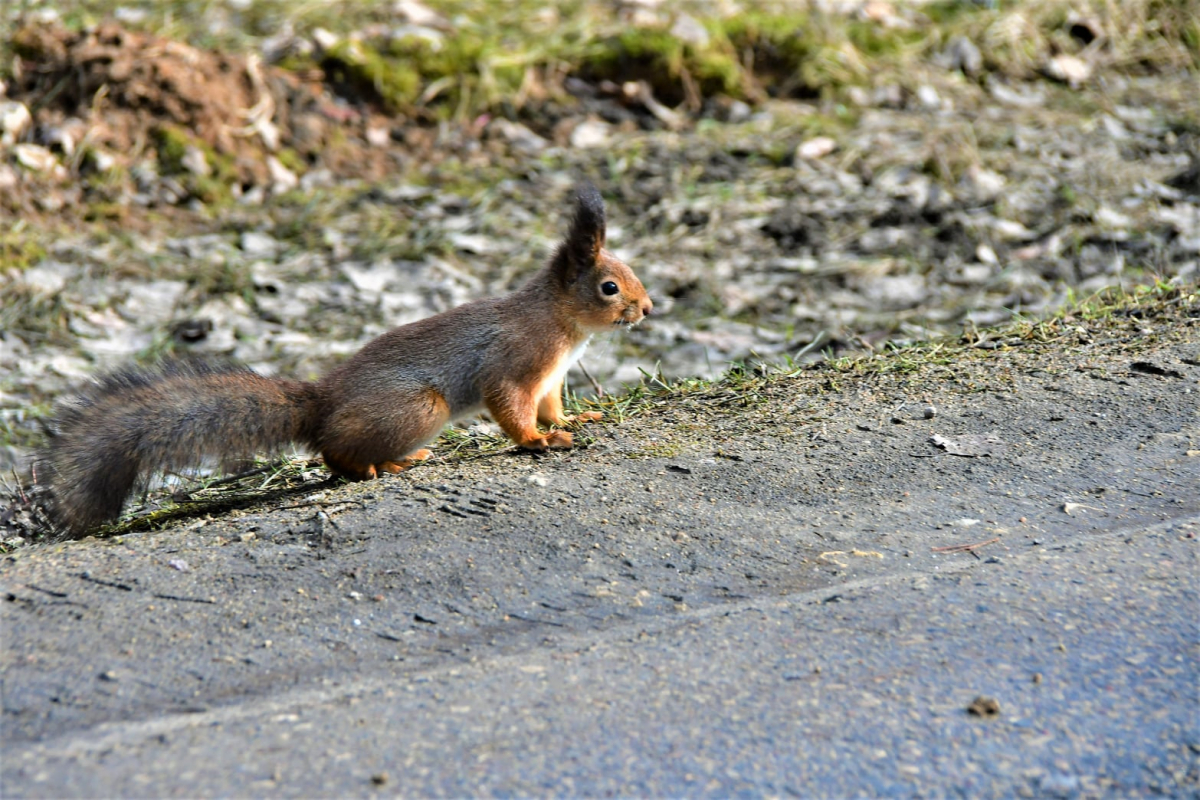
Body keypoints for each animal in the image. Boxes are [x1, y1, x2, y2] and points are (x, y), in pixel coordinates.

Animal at [42, 183, 652, 534]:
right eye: (608, 288)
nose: (648, 307)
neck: (562, 324)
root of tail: (323, 402)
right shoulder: (516, 360)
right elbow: (510, 406)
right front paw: (535, 442)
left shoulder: (549, 378)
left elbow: (551, 406)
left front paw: (576, 419)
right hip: (418, 408)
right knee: (335, 453)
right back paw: (384, 465)